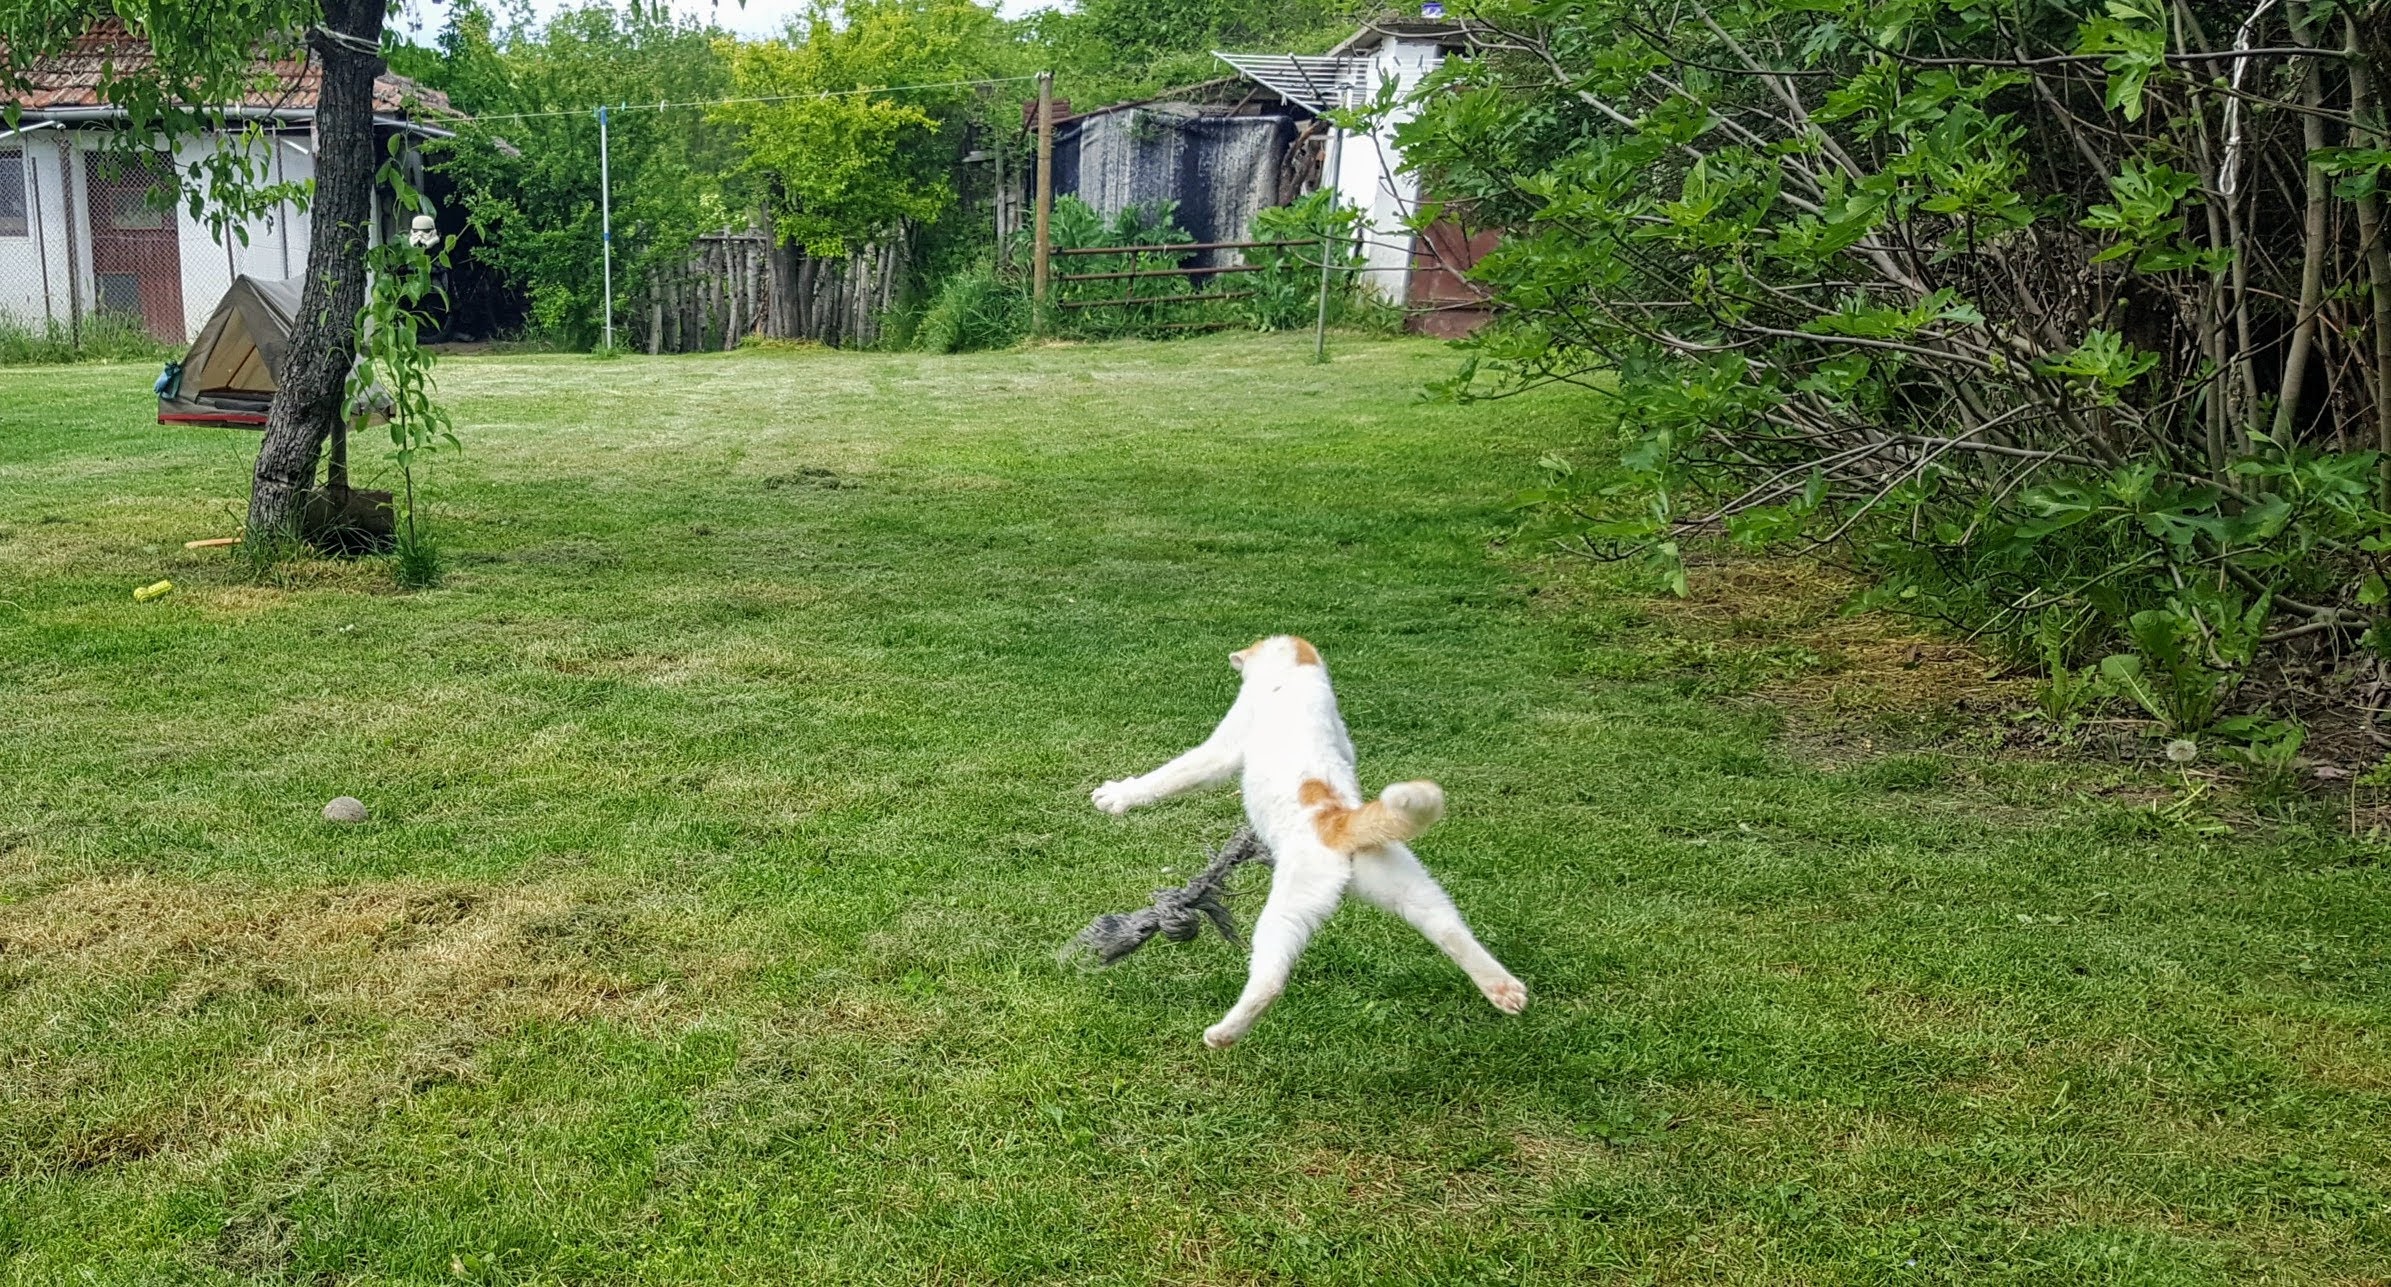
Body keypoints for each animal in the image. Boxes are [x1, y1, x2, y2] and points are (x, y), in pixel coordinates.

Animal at [1095, 631, 1520, 1042]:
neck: (1297, 674)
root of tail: (1340, 824)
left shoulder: (1226, 744)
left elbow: (1175, 773)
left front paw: (1117, 796)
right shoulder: (1345, 741)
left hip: (1290, 905)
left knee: (1270, 979)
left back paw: (1223, 1034)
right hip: (1405, 883)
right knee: (1450, 929)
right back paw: (1505, 990)